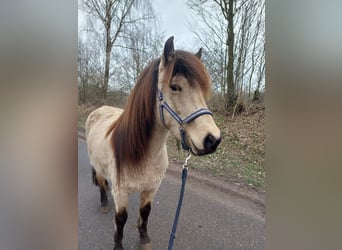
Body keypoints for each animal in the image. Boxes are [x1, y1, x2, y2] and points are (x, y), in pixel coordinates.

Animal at [84, 35, 220, 250]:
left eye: (201, 90)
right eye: (174, 87)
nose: (212, 139)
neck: (145, 153)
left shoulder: (151, 188)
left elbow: (145, 213)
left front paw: (144, 238)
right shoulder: (121, 192)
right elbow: (121, 219)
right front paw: (118, 245)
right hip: (96, 165)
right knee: (101, 181)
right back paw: (104, 203)